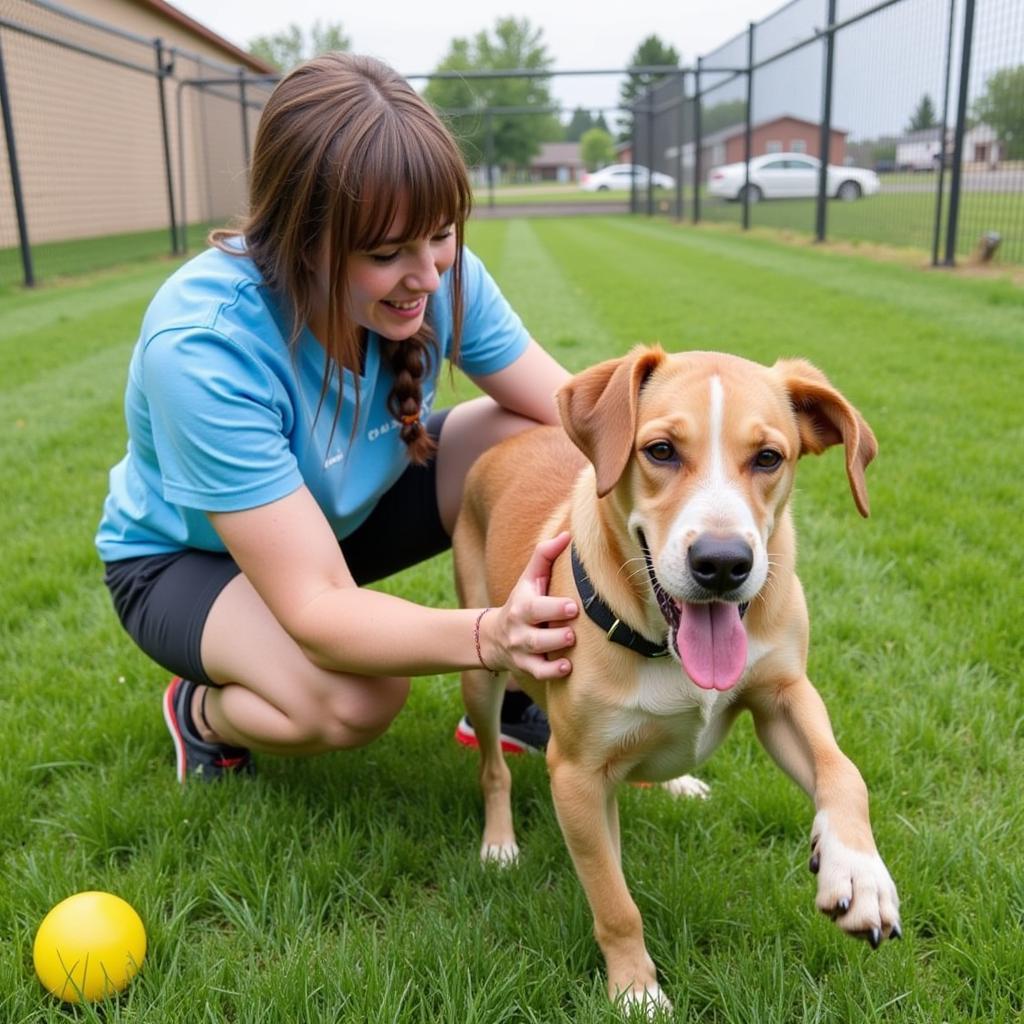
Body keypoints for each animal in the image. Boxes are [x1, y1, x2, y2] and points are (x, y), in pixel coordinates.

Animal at [452, 350, 901, 1015]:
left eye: (769, 457)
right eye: (660, 450)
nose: (722, 563)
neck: (663, 644)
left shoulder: (785, 694)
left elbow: (843, 770)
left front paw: (860, 871)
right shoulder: (576, 776)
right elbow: (615, 902)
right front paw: (636, 991)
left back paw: (678, 781)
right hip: (482, 671)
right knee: (493, 767)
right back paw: (499, 842)